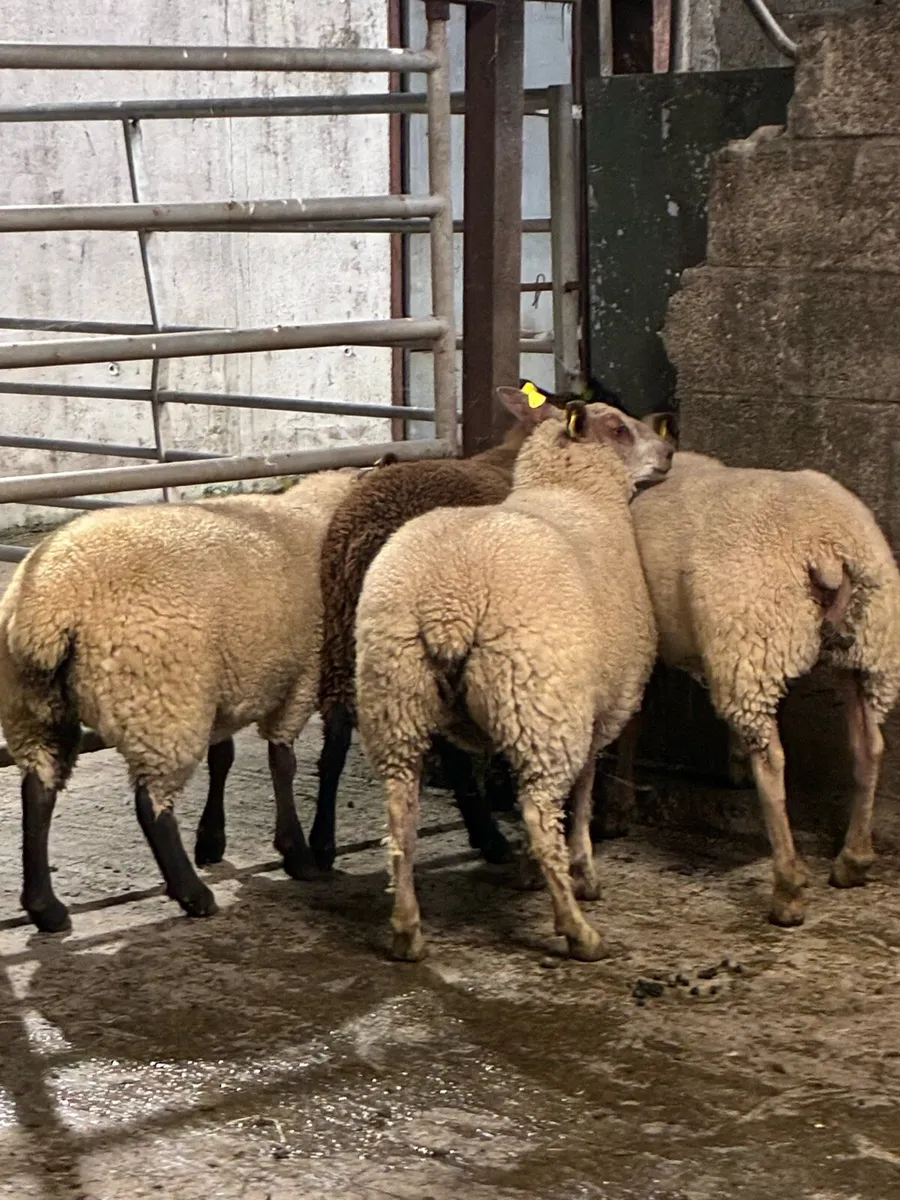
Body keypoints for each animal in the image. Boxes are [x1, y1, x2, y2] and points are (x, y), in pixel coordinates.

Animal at [0, 467, 362, 933]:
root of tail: (48, 605)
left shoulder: (224, 685)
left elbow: (224, 758)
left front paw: (212, 840)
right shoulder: (306, 677)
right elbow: (291, 762)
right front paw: (301, 853)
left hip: (34, 709)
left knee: (38, 791)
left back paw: (46, 908)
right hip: (163, 701)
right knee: (149, 804)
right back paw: (193, 894)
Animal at [354, 388, 673, 962]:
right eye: (619, 429)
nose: (668, 453)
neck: (572, 492)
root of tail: (447, 604)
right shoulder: (597, 704)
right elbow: (584, 791)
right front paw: (583, 869)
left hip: (397, 698)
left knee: (400, 817)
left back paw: (407, 930)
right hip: (537, 703)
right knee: (539, 811)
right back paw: (577, 928)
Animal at [618, 445, 900, 927]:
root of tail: (826, 545)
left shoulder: (649, 639)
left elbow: (634, 720)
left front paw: (620, 808)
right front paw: (731, 763)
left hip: (753, 640)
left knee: (772, 763)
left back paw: (788, 888)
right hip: (862, 650)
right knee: (868, 746)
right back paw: (853, 860)